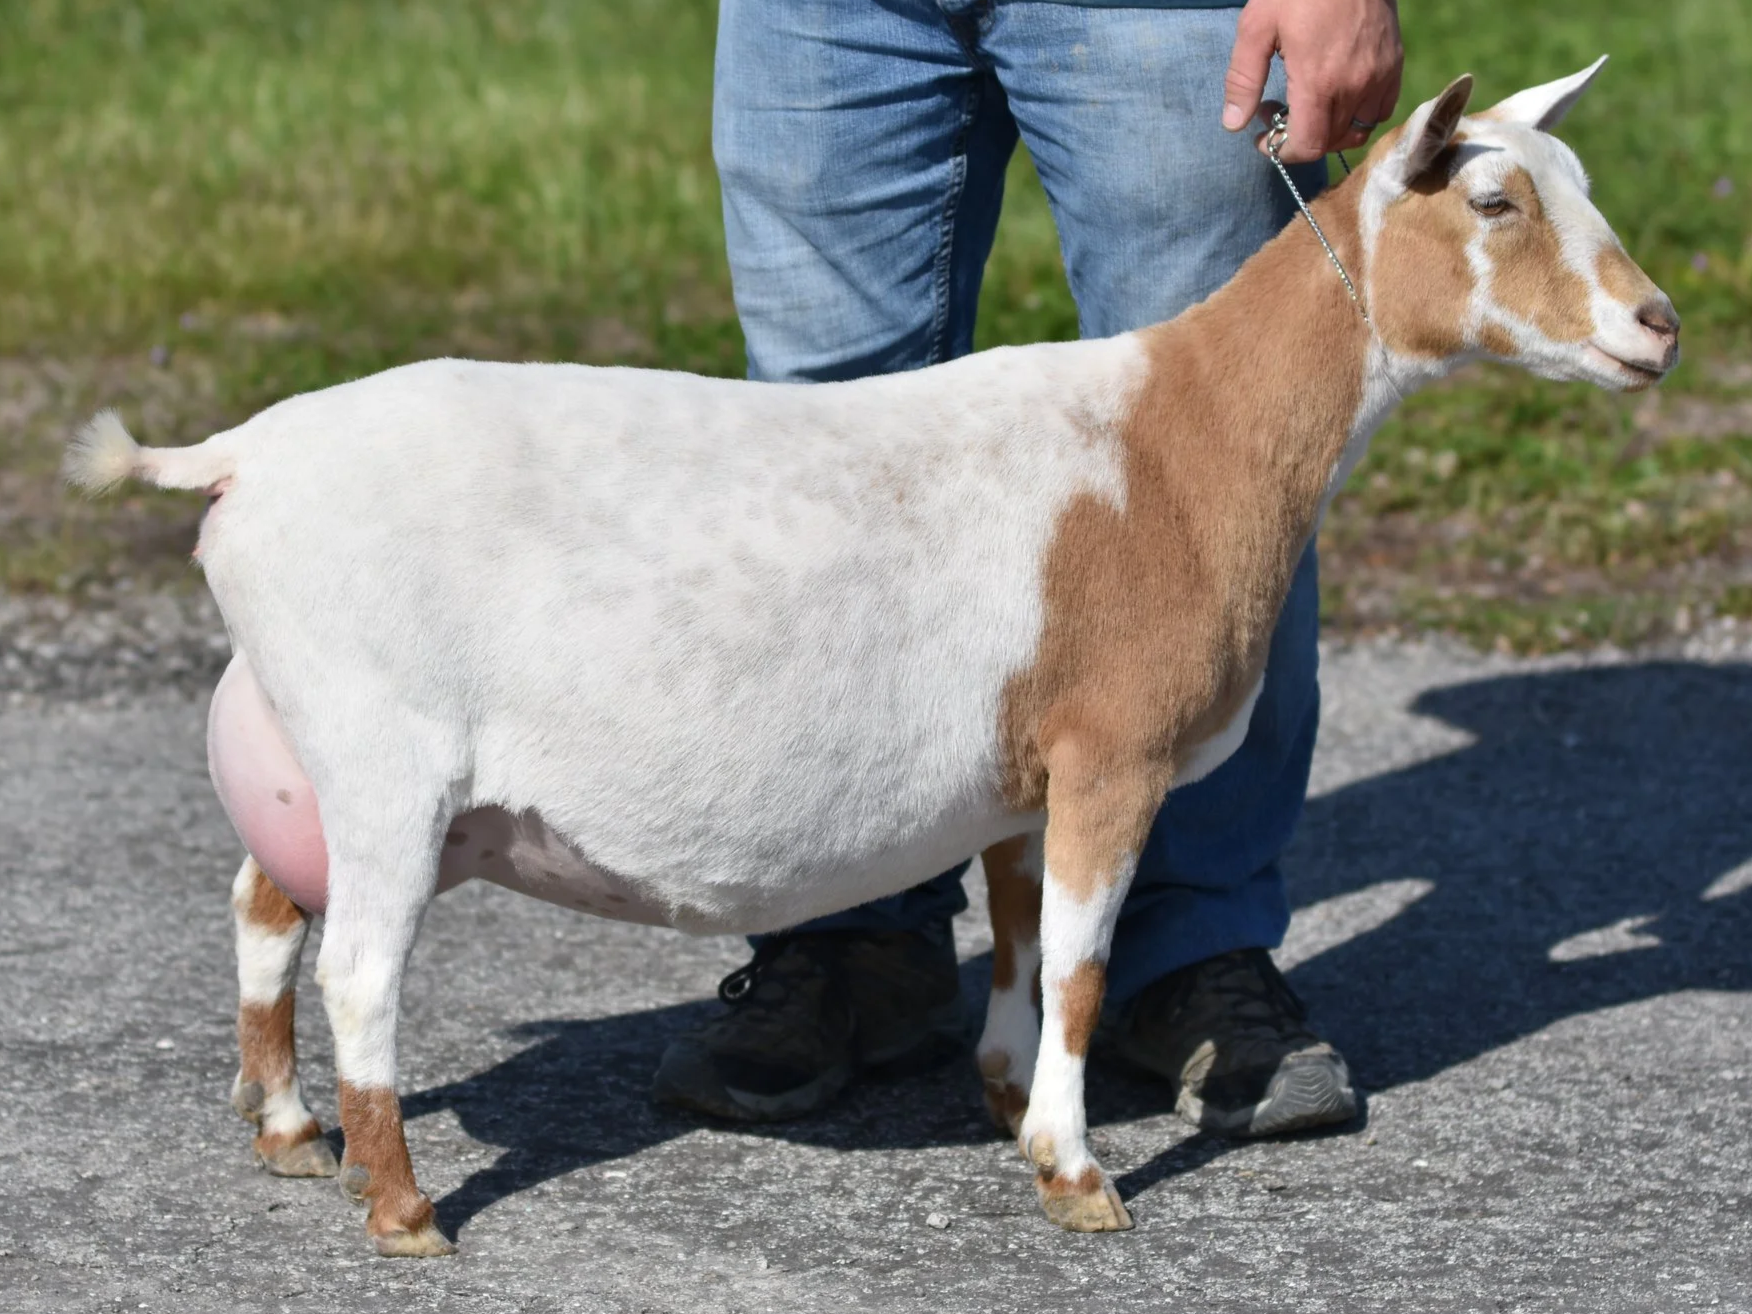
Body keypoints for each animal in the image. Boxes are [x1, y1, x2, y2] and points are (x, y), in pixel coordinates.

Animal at [67, 62, 1677, 1255]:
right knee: (356, 966)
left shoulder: (1026, 776)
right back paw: (400, 1207)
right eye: (1495, 199)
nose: (1656, 327)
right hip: (385, 748)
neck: (1186, 436)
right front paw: (1076, 1177)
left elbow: (1024, 942)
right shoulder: (1113, 753)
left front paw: (1005, 1099)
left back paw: (290, 1134)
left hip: (307, 745)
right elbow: (1085, 966)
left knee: (264, 906)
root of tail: (240, 457)